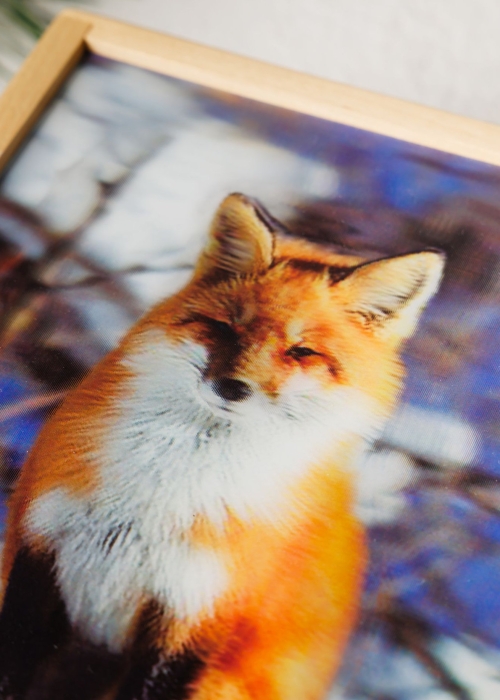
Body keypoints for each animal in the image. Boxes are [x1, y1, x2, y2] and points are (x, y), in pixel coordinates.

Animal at [0, 193, 444, 700]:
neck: (161, 499)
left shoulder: (197, 615)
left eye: (302, 352)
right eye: (227, 327)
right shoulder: (38, 551)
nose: (233, 387)